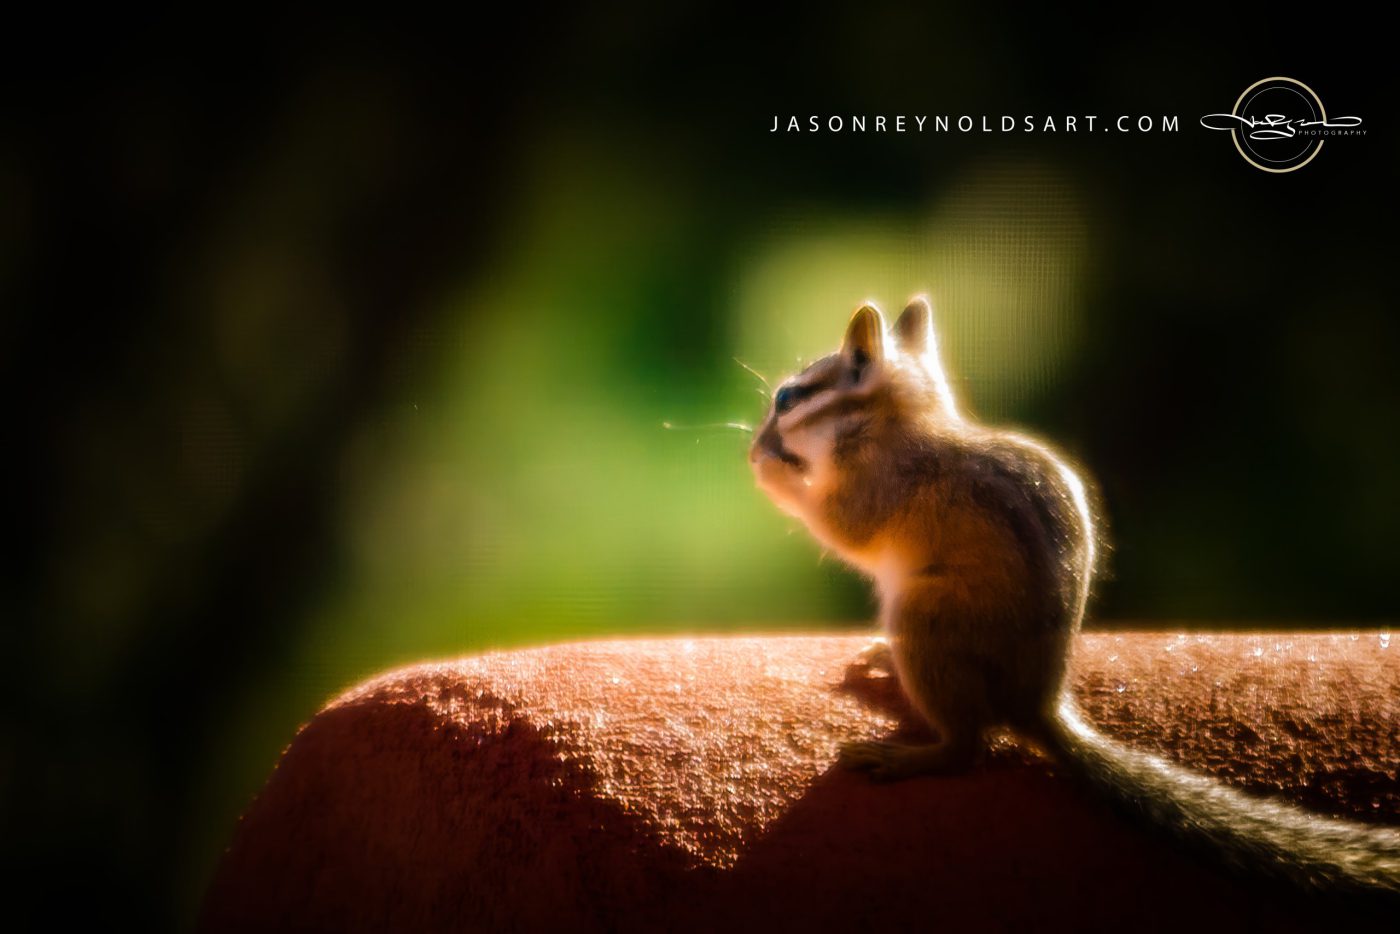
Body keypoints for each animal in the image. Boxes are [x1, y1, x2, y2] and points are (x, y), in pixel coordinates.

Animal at [747, 296, 1400, 897]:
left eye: (789, 399)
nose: (756, 445)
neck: (896, 426)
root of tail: (1036, 703)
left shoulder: (874, 490)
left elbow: (844, 532)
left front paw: (773, 472)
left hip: (924, 619)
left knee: (968, 747)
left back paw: (907, 756)